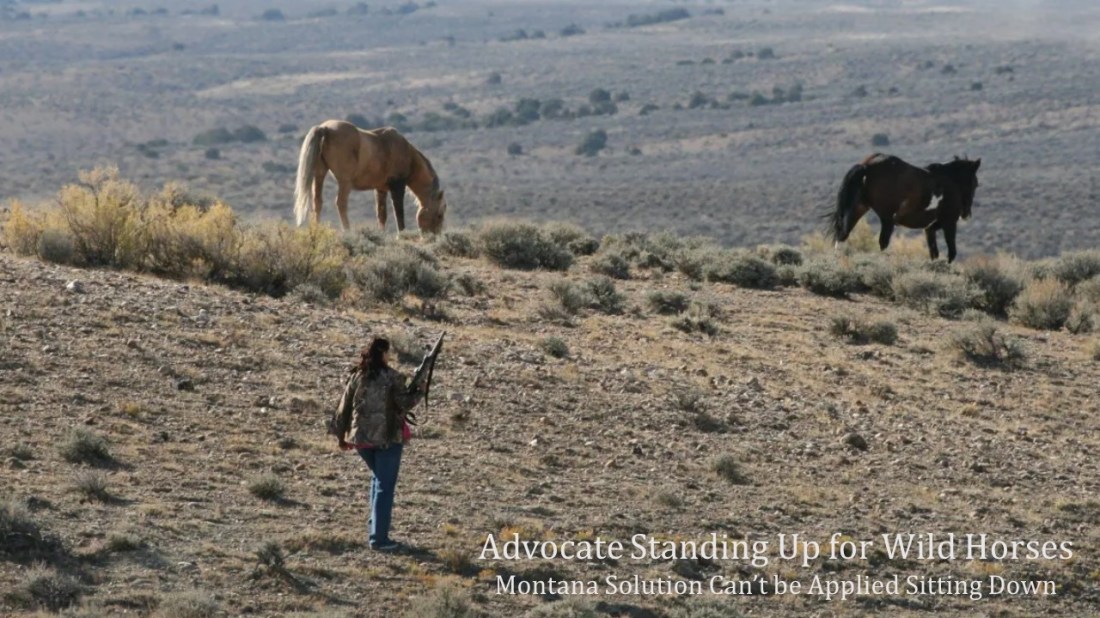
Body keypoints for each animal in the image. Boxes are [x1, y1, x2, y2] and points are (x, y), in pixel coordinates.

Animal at [294, 120, 447, 233]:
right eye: (439, 215)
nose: (433, 236)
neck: (407, 154)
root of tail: (325, 128)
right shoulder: (397, 187)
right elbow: (398, 211)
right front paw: (401, 235)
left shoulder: (381, 189)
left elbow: (381, 214)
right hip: (344, 182)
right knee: (340, 203)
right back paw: (348, 231)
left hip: (319, 174)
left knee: (318, 202)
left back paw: (317, 230)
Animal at [829, 153, 981, 262]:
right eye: (975, 183)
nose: (966, 214)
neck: (950, 182)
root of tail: (866, 165)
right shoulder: (949, 223)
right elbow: (951, 253)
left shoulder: (931, 227)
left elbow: (934, 253)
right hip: (887, 218)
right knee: (882, 242)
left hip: (859, 209)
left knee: (842, 235)